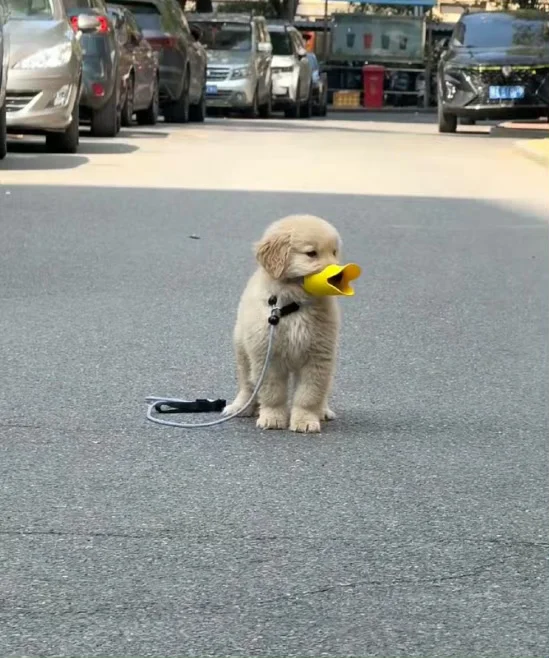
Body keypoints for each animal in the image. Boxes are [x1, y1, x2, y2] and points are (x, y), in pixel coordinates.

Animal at [220, 213, 340, 434]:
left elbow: (309, 394)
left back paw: (323, 410)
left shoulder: (318, 356)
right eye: (311, 253)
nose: (338, 276)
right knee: (247, 384)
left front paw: (305, 420)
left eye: (334, 252)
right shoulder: (266, 355)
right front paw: (273, 418)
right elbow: (272, 392)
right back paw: (241, 406)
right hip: (242, 349)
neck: (293, 305)